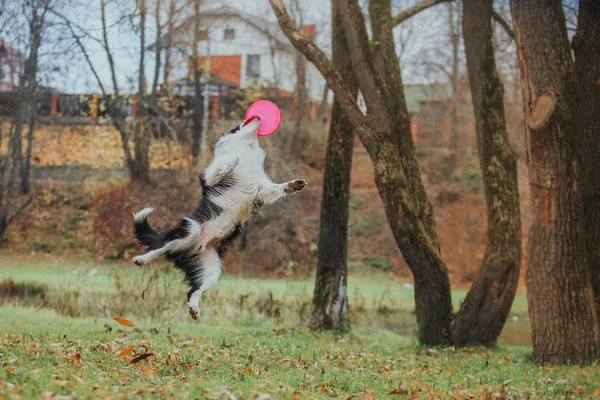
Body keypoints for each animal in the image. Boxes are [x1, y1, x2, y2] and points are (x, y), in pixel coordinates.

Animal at [133, 118, 308, 318]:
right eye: (242, 123)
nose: (256, 117)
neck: (247, 148)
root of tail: (193, 248)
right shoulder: (211, 178)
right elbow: (231, 160)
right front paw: (228, 165)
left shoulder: (261, 190)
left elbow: (279, 189)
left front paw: (295, 184)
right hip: (190, 230)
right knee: (158, 247)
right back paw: (142, 259)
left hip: (212, 270)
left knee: (193, 291)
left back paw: (194, 308)